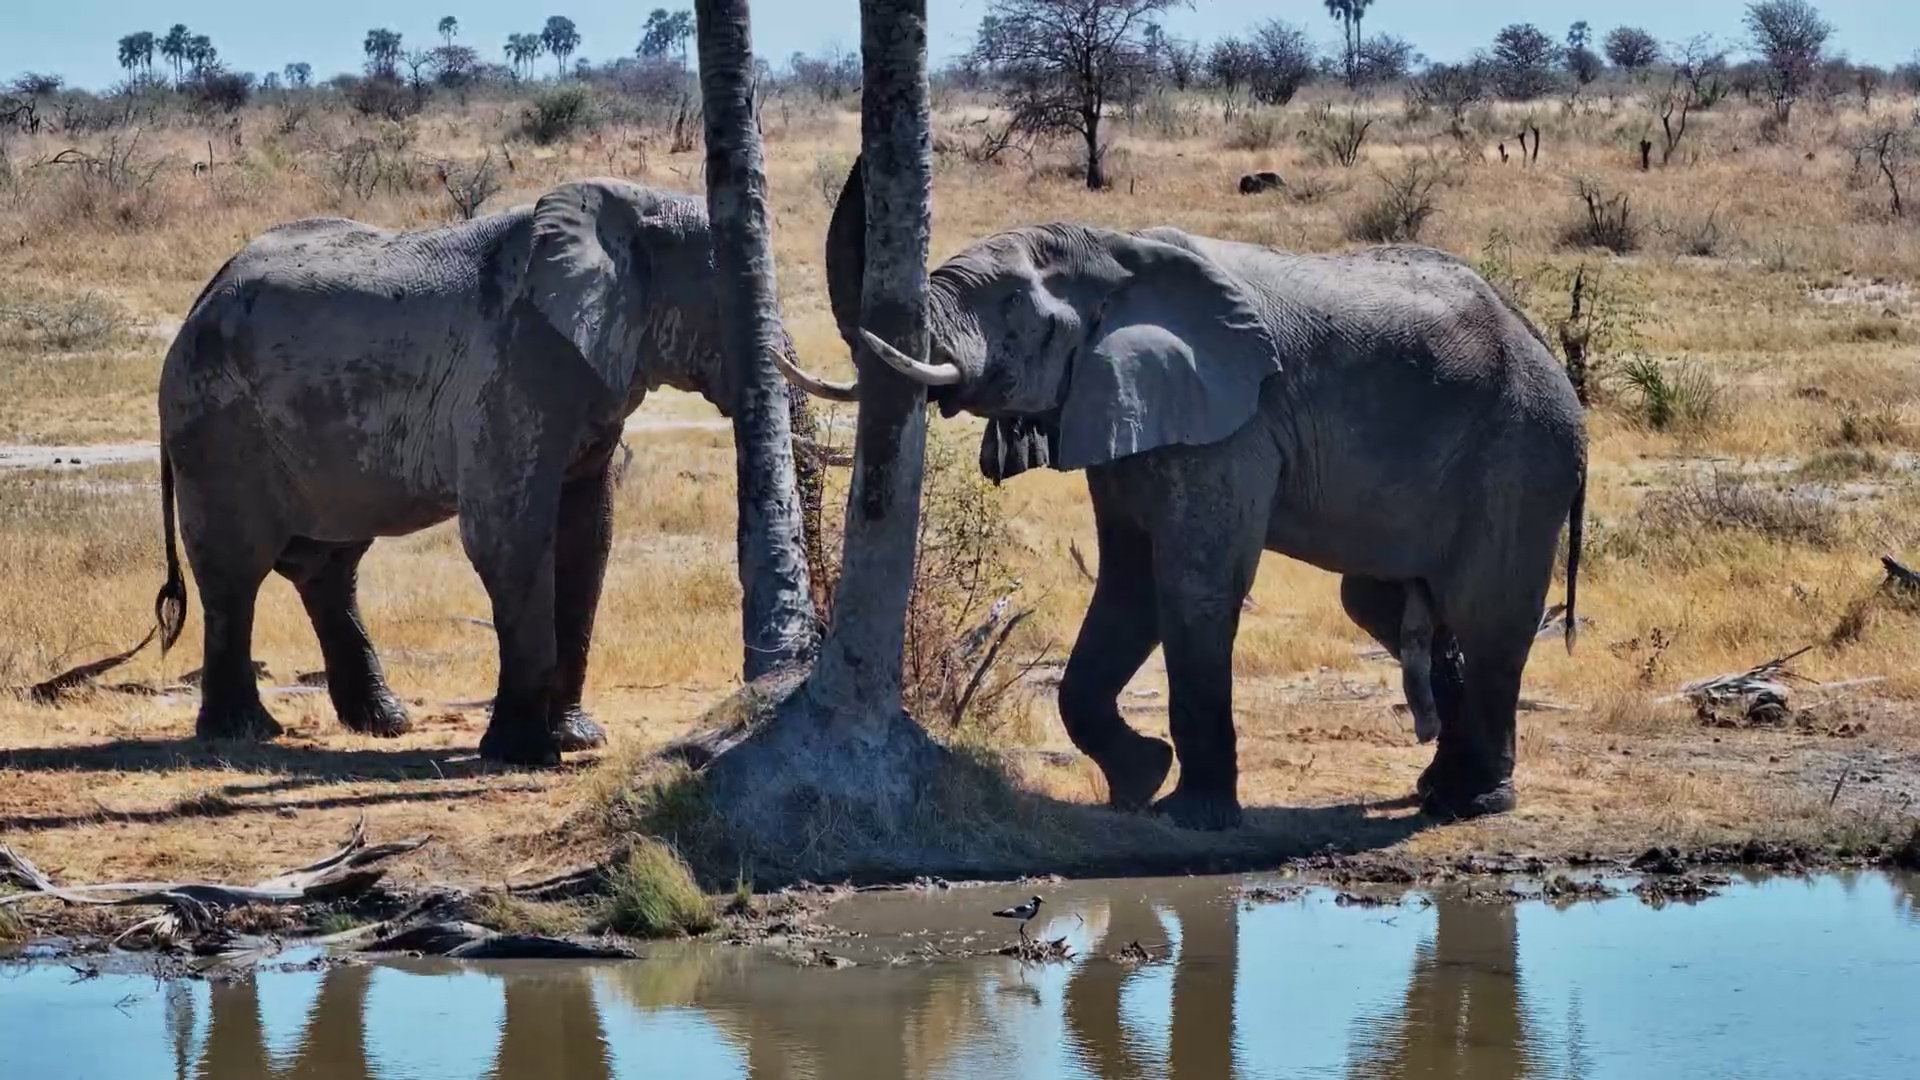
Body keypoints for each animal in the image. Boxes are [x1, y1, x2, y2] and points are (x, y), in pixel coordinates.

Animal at [152, 178, 771, 765]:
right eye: (727, 308)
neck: (634, 211)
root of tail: (205, 293)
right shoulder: (511, 369)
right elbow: (509, 538)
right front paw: (525, 755)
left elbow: (587, 539)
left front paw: (579, 739)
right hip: (215, 418)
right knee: (235, 567)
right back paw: (243, 730)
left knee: (328, 563)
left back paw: (383, 722)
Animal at [778, 162, 1585, 829]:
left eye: (1009, 305)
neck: (1114, 253)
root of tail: (1546, 352)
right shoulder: (1120, 400)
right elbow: (1129, 582)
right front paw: (1141, 782)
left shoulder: (1232, 420)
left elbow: (1193, 584)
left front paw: (1192, 817)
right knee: (1387, 604)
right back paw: (1438, 791)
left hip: (1521, 453)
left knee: (1486, 613)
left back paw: (1474, 801)